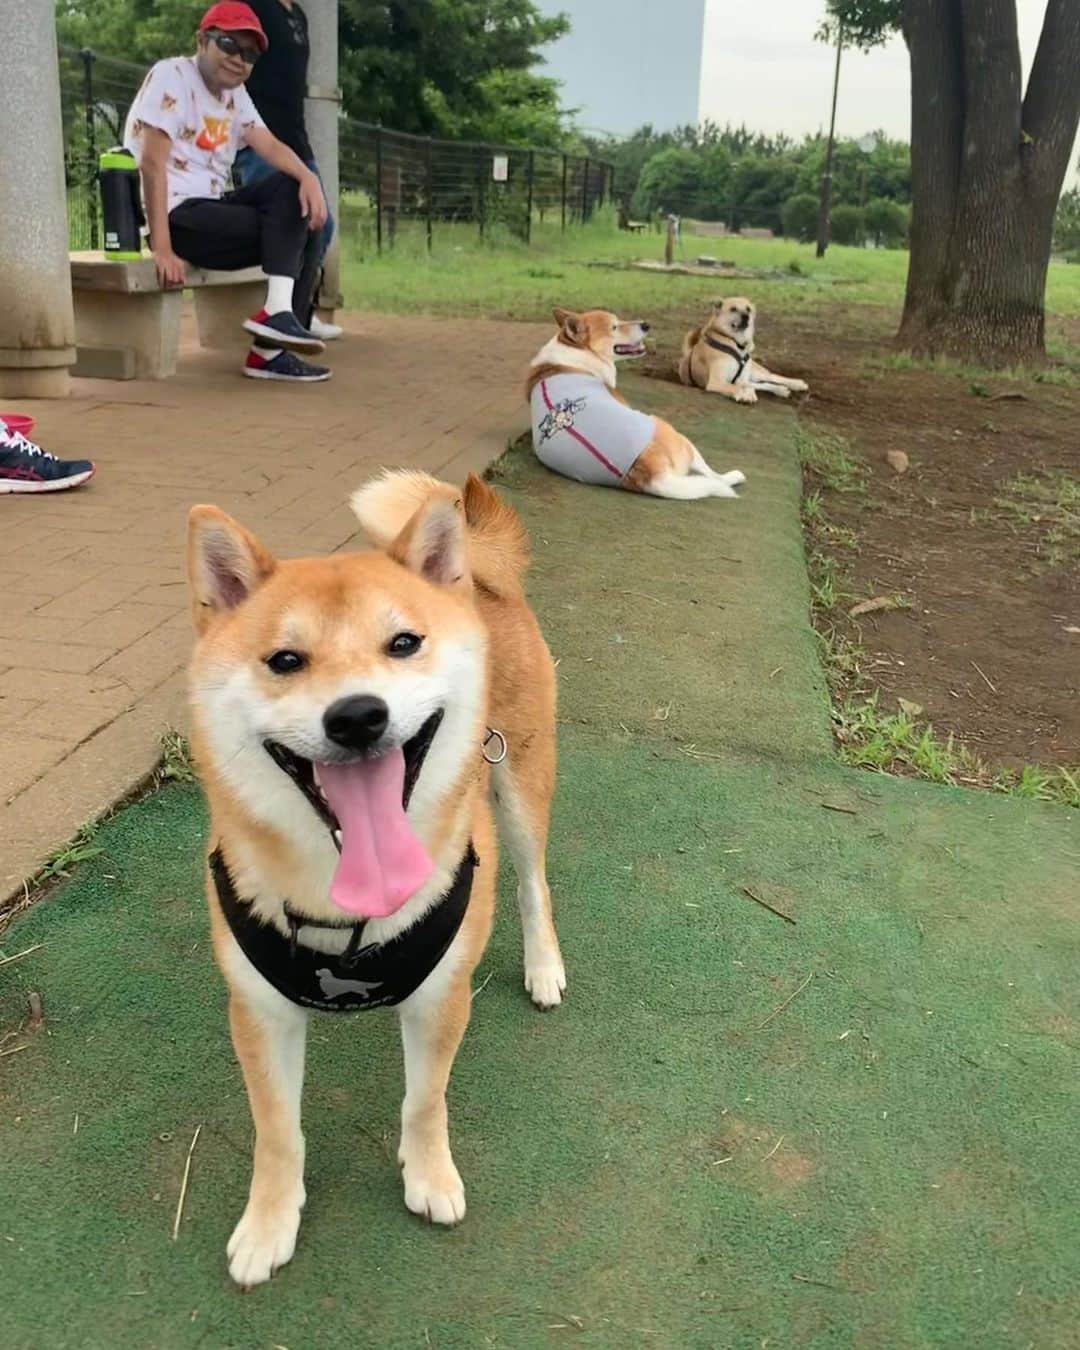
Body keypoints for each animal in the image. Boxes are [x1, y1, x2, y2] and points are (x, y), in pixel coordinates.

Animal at [184, 472, 561, 1285]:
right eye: (285, 660)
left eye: (403, 643)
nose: (358, 715)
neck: (345, 905)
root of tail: (479, 582)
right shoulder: (259, 1012)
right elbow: (277, 1130)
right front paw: (269, 1222)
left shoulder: (441, 997)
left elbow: (425, 1100)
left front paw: (430, 1176)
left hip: (518, 781)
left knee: (533, 885)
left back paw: (545, 966)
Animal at [523, 309, 745, 504]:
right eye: (614, 326)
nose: (646, 324)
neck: (576, 355)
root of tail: (653, 474)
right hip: (673, 432)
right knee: (712, 475)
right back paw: (734, 476)